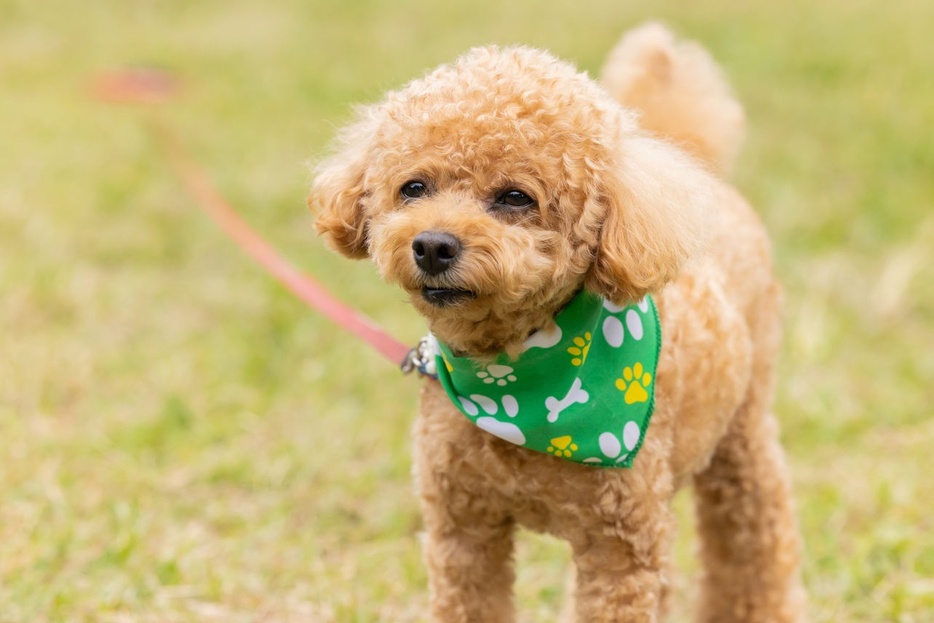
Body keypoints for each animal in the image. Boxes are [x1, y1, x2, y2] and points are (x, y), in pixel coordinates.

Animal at [310, 23, 808, 623]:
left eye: (514, 197)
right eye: (413, 188)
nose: (431, 245)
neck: (513, 376)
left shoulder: (619, 551)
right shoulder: (462, 530)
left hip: (741, 430)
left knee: (755, 538)